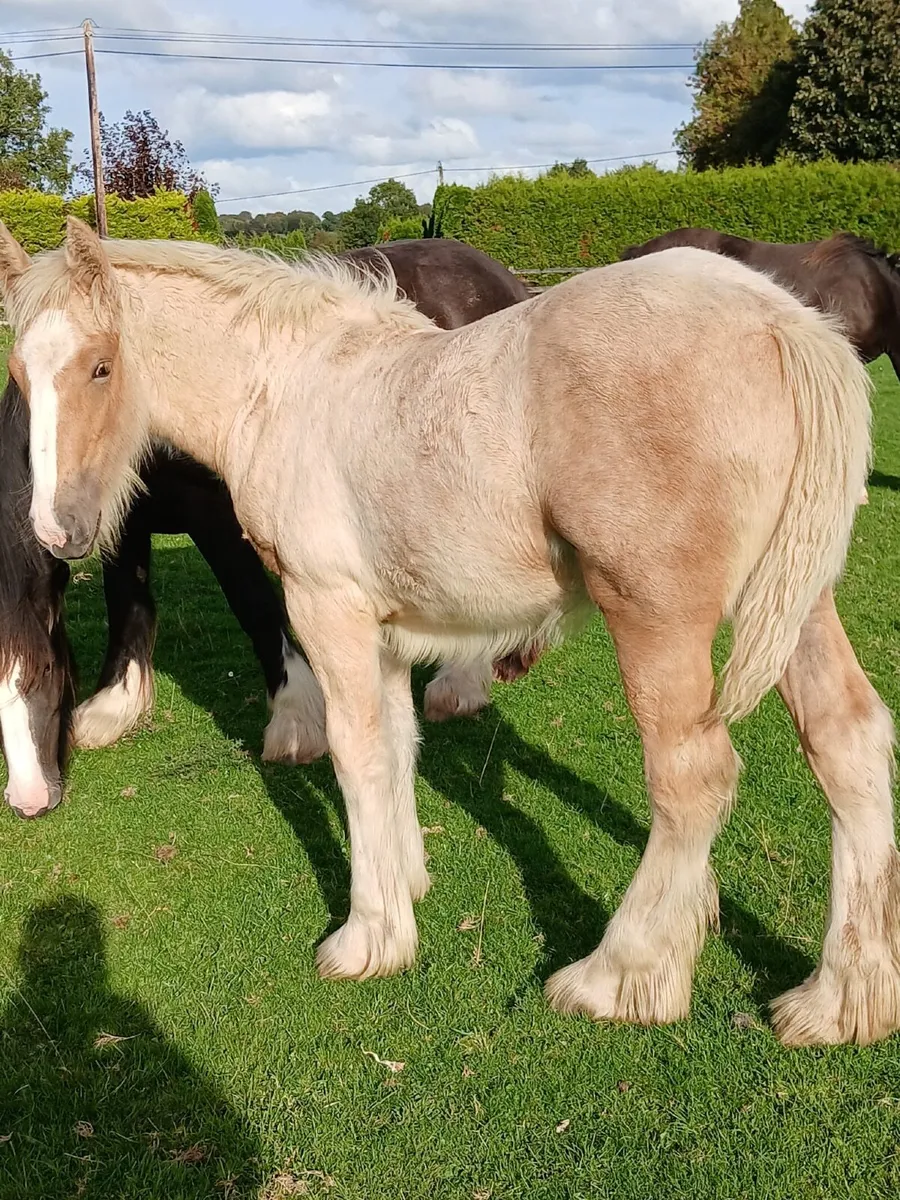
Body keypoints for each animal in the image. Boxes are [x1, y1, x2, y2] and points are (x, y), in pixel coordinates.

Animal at [0, 238, 531, 818]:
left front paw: (296, 717)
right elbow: (128, 599)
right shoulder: (116, 517)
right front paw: (116, 703)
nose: (28, 800)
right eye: (19, 372)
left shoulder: (216, 513)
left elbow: (250, 598)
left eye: (44, 673)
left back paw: (465, 679)